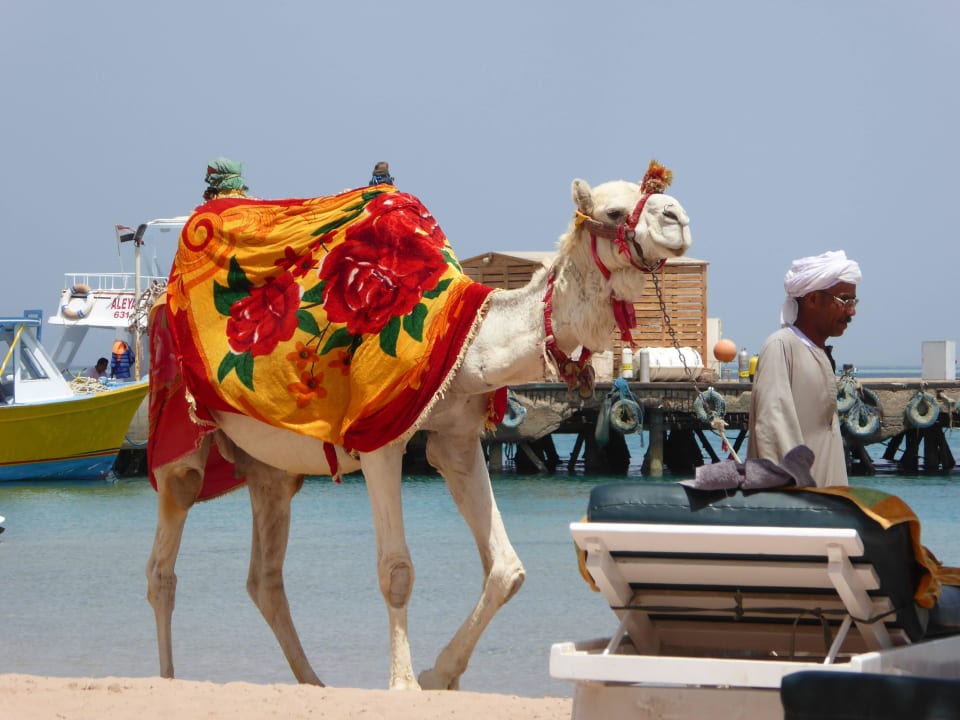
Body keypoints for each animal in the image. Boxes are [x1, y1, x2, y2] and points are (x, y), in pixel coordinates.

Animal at [145, 162, 692, 691]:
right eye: (616, 211)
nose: (678, 218)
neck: (473, 348)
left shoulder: (457, 438)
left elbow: (507, 569)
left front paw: (441, 674)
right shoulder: (379, 439)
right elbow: (397, 571)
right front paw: (405, 682)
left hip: (269, 466)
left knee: (265, 575)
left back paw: (312, 681)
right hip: (177, 422)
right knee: (165, 555)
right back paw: (167, 676)